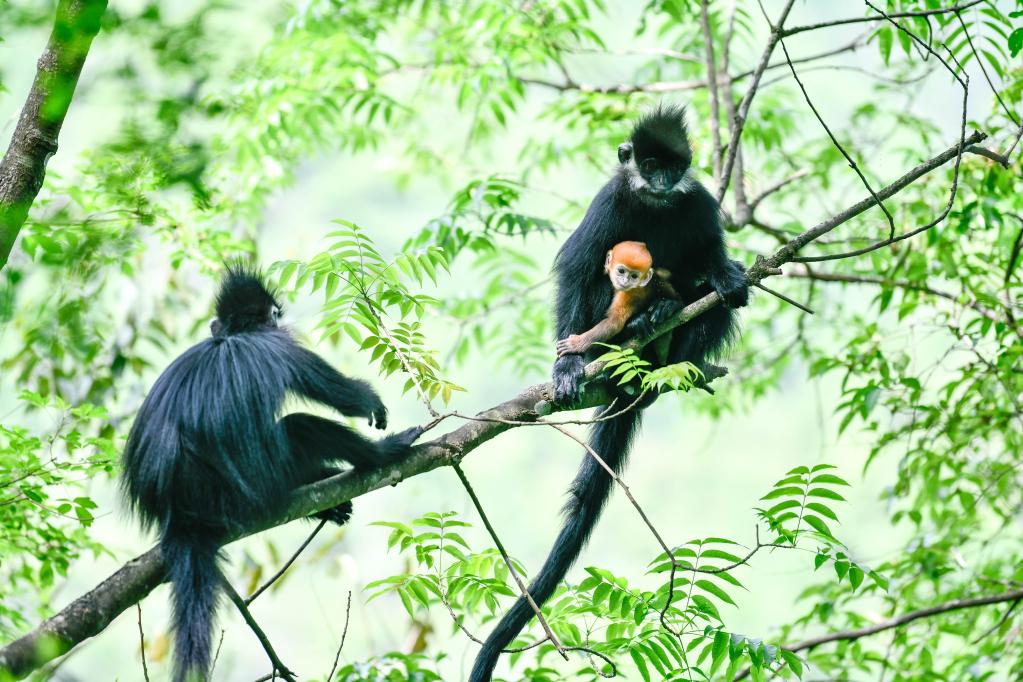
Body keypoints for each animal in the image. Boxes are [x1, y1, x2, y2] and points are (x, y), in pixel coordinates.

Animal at [122, 265, 419, 682]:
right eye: (274, 315)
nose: (281, 317)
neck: (232, 336)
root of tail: (181, 511)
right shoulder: (280, 347)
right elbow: (340, 395)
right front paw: (370, 403)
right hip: (257, 481)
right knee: (300, 427)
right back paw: (379, 456)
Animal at [468, 102, 748, 682]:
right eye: (649, 164)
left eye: (675, 166)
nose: (662, 181)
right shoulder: (608, 202)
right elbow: (578, 269)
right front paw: (568, 361)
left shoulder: (698, 201)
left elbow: (711, 256)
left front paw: (727, 275)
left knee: (704, 300)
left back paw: (673, 337)